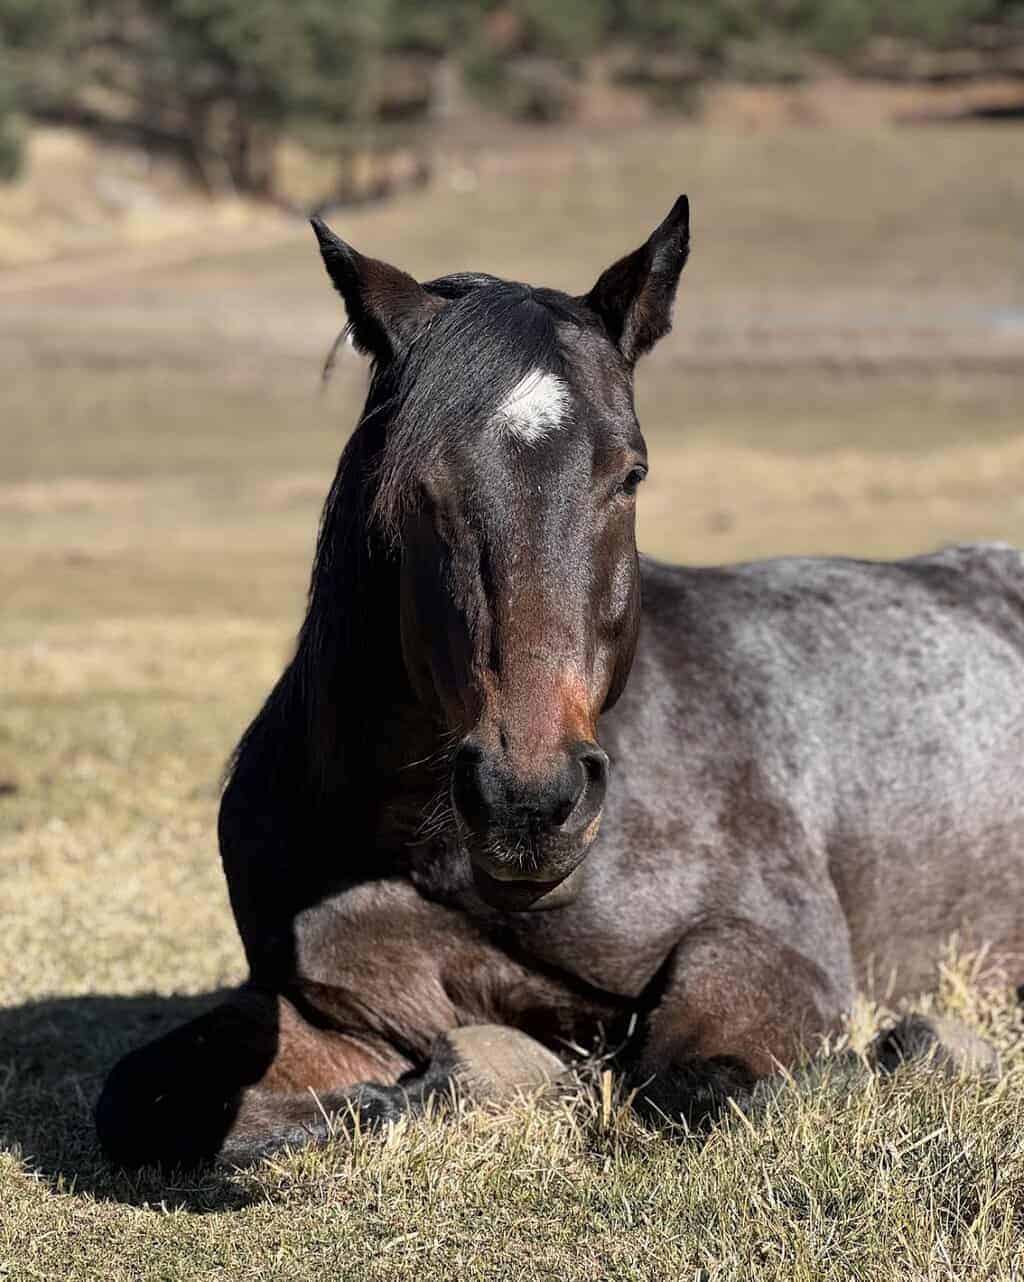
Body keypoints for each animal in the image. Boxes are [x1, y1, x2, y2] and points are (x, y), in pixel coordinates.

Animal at [96, 196, 1024, 1169]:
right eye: (415, 484)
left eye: (630, 474)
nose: (528, 802)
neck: (418, 848)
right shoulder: (338, 1011)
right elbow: (150, 1098)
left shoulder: (773, 952)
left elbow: (691, 1085)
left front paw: (910, 1047)